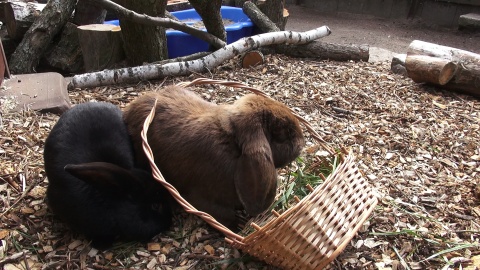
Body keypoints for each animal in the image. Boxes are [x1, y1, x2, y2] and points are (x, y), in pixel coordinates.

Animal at [124, 86, 304, 228]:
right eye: (282, 132)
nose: (301, 142)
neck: (233, 146)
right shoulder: (204, 200)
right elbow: (224, 215)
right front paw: (238, 225)